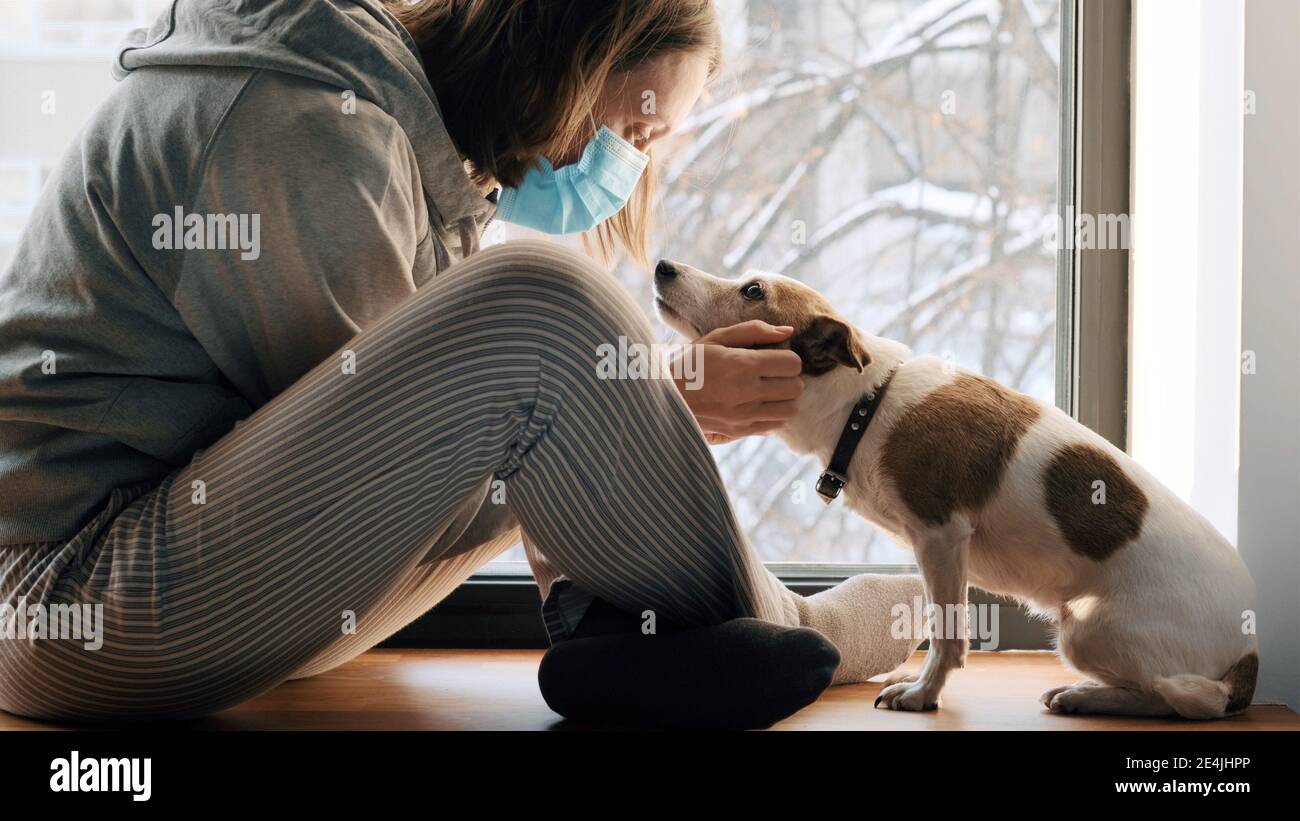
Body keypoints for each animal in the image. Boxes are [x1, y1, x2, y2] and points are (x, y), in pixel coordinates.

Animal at [655, 258, 1253, 717]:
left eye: (753, 290)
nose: (663, 266)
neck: (866, 404)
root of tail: (1249, 650)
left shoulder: (941, 537)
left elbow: (946, 635)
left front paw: (923, 694)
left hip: (1085, 628)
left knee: (1188, 701)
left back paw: (1088, 697)